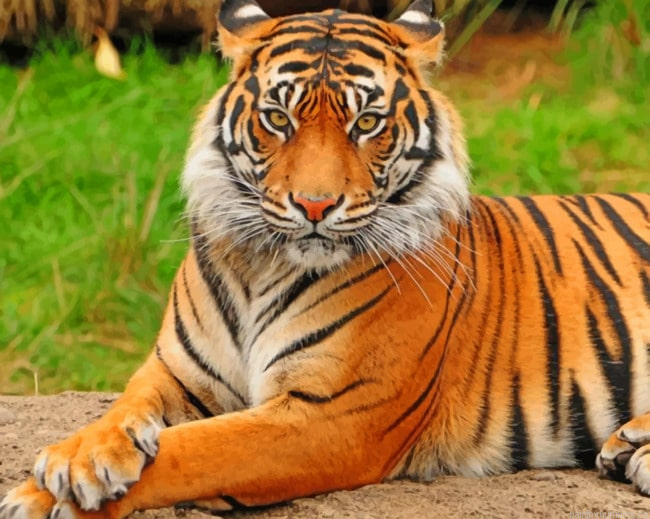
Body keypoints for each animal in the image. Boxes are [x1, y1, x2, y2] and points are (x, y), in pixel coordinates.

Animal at [2, 0, 649, 517]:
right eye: (277, 118)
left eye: (367, 123)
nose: (315, 205)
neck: (261, 264)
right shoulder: (177, 372)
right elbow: (122, 409)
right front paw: (83, 458)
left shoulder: (331, 415)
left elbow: (196, 450)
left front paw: (42, 494)